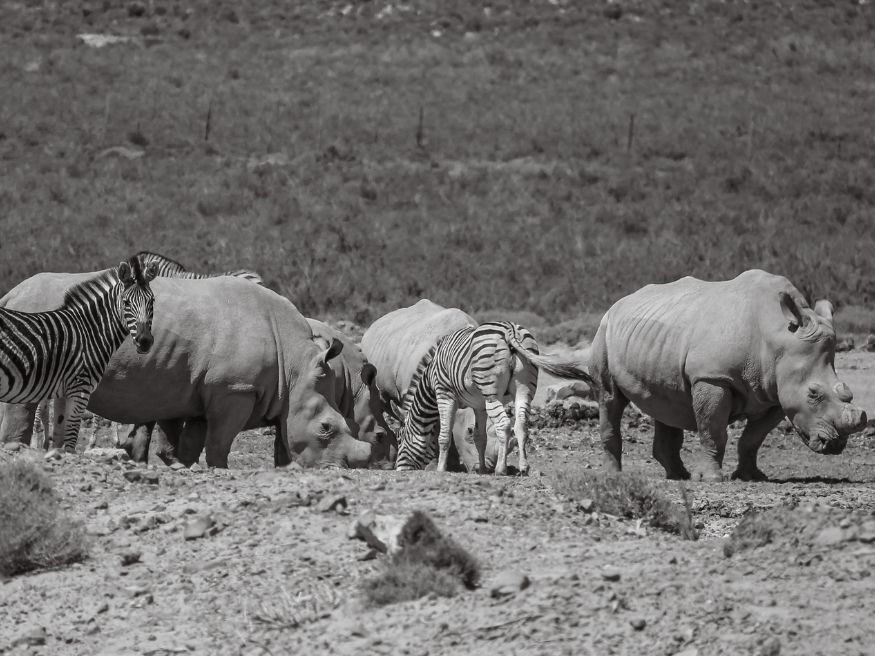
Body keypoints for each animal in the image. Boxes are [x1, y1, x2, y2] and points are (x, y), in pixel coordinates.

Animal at [1, 257, 158, 455]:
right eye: (126, 302)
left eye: (152, 301)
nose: (144, 341)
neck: (88, 331)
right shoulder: (80, 389)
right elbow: (71, 439)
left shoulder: (61, 390)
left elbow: (59, 433)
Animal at [394, 321, 598, 476]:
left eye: (401, 440)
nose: (397, 469)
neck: (429, 379)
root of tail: (510, 330)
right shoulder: (479, 405)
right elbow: (480, 438)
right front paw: (483, 470)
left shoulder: (445, 394)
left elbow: (444, 436)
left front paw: (440, 469)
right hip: (524, 389)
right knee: (521, 424)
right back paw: (524, 467)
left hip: (491, 393)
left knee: (505, 425)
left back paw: (501, 469)